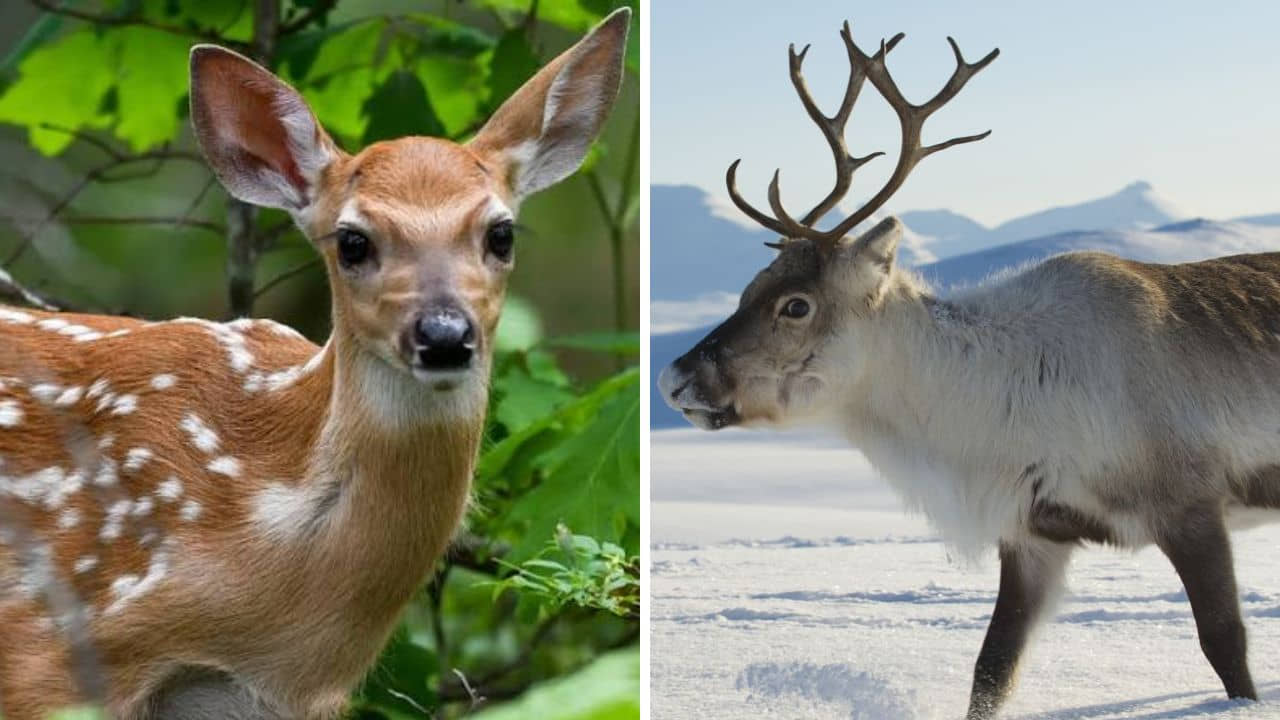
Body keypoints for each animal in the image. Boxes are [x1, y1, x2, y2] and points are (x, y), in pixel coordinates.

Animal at [659, 20, 1280, 719]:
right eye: (746, 289)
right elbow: (992, 668)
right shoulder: (1035, 533)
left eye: (796, 305)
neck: (998, 397)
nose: (673, 378)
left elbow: (1225, 642)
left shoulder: (1189, 504)